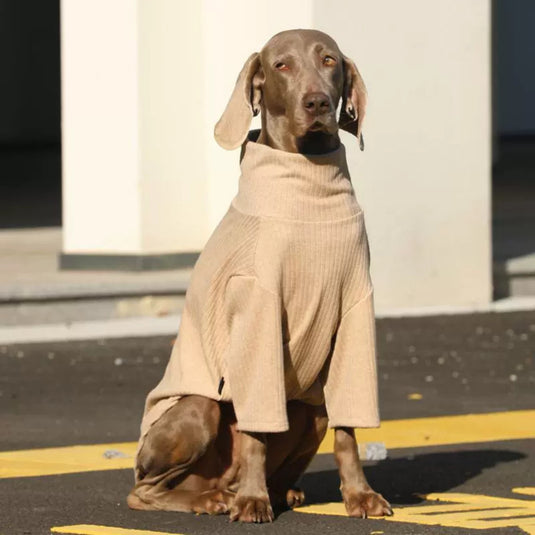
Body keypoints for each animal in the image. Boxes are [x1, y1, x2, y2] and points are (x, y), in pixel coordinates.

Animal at [127, 28, 392, 524]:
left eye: (329, 60)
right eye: (281, 65)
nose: (316, 102)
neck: (308, 180)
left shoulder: (355, 309)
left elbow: (348, 430)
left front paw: (360, 495)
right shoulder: (258, 310)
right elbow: (255, 432)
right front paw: (252, 503)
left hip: (309, 408)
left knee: (307, 431)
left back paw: (278, 492)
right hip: (198, 410)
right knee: (145, 489)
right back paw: (217, 499)